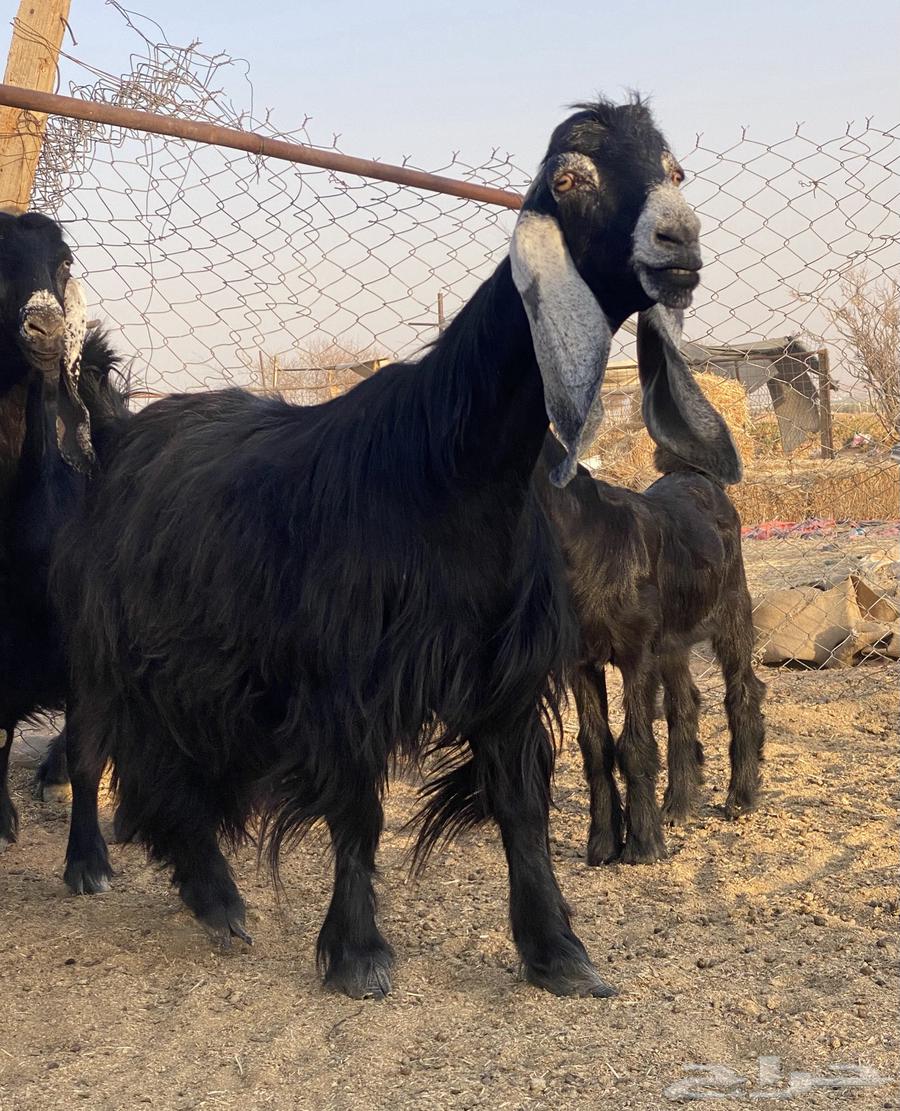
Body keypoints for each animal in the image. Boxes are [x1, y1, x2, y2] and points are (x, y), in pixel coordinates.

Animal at [56, 97, 739, 999]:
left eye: (675, 171)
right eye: (569, 180)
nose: (678, 239)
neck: (447, 467)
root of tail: (118, 428)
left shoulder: (505, 669)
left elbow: (521, 807)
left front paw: (558, 951)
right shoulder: (344, 675)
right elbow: (359, 809)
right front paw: (358, 953)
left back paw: (211, 894)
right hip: (112, 647)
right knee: (107, 754)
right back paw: (136, 876)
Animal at [539, 426, 765, 866]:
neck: (587, 543)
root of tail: (697, 475)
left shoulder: (636, 658)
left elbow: (635, 744)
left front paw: (642, 843)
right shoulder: (582, 665)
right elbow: (595, 746)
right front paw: (603, 842)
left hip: (731, 614)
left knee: (743, 692)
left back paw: (741, 797)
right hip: (672, 644)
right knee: (685, 704)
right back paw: (678, 804)